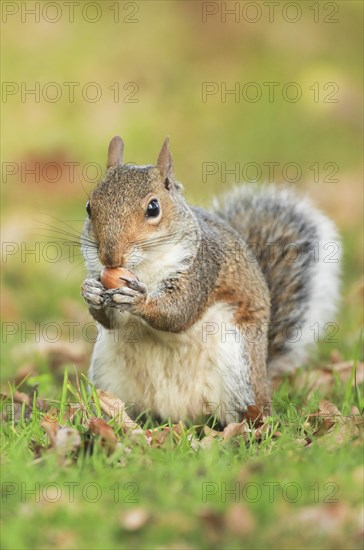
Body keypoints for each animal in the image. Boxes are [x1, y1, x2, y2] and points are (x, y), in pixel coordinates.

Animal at [81, 137, 340, 426]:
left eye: (153, 208)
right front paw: (91, 292)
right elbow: (112, 321)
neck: (144, 268)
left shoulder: (203, 268)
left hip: (238, 370)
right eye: (89, 207)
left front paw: (138, 299)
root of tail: (178, 417)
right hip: (109, 375)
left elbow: (179, 312)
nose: (110, 256)